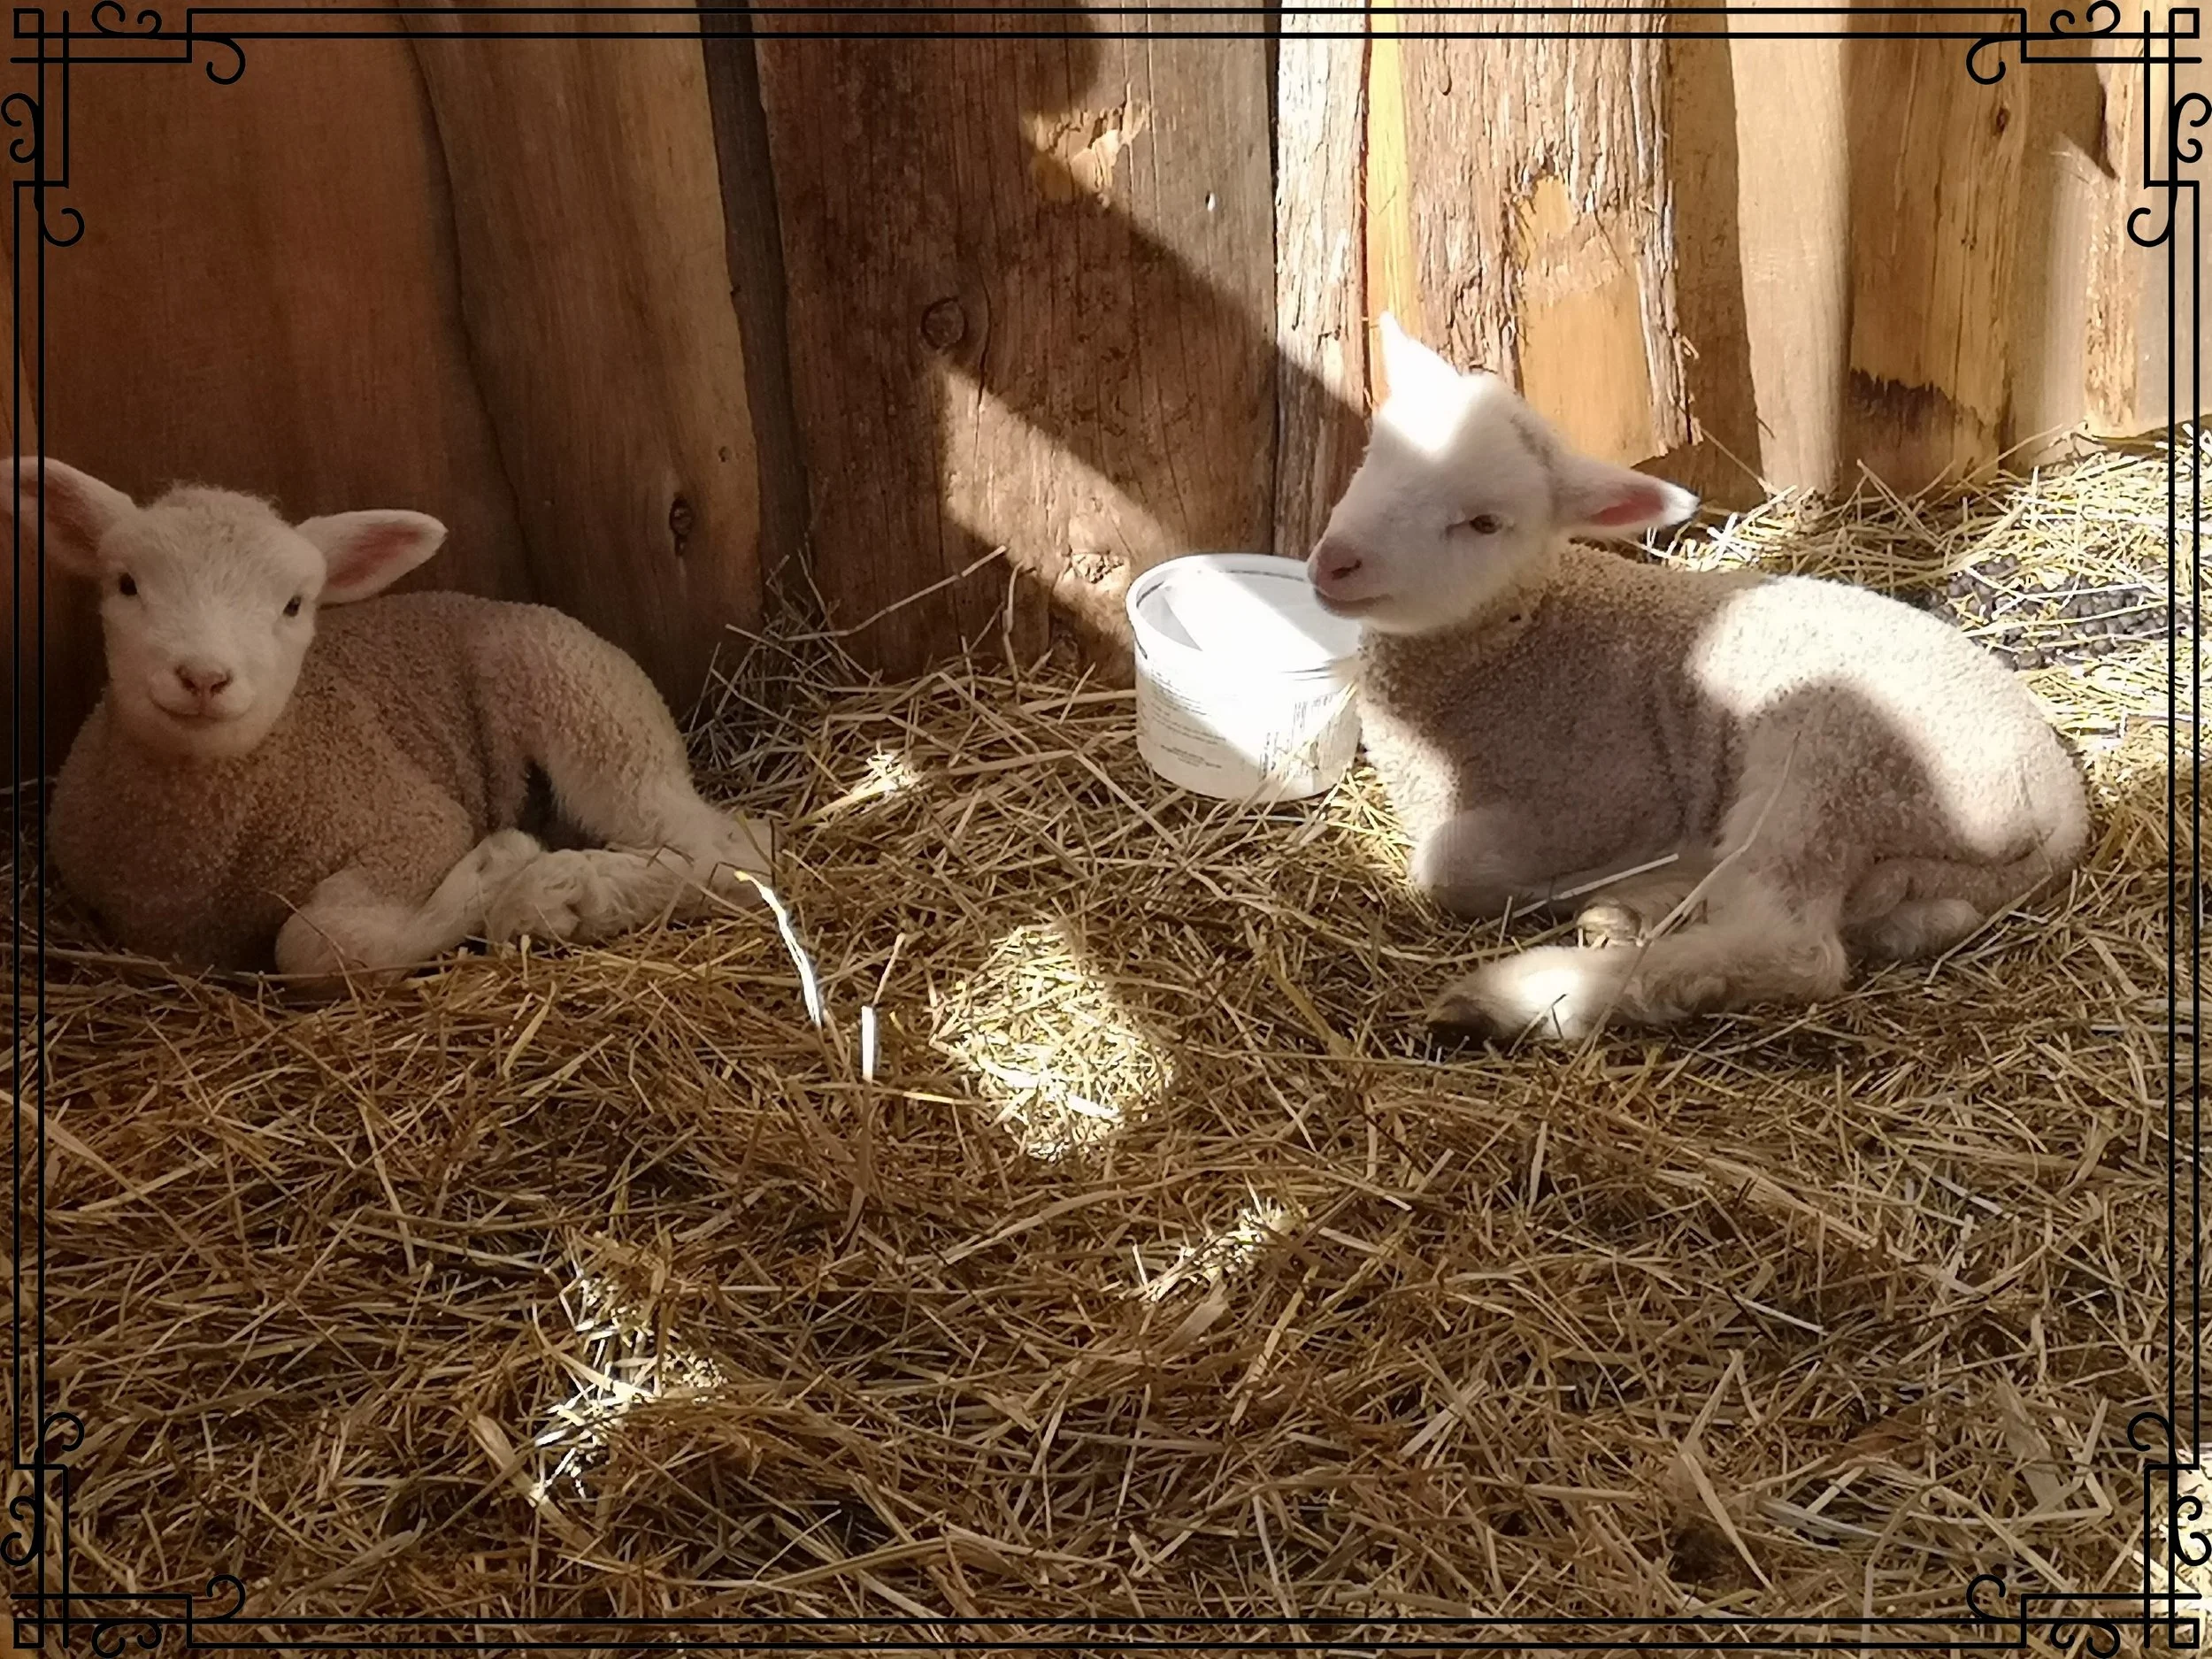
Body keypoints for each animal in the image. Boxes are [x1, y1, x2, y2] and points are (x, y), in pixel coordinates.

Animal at [20, 458, 777, 993]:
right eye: (126, 584)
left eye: (294, 605)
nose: (204, 676)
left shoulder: (413, 826)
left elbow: (315, 942)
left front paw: (496, 867)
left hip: (589, 708)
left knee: (733, 850)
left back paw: (562, 893)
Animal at [1305, 317, 2089, 1043]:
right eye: (1374, 454)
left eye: (1483, 522)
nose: (1334, 561)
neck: (1522, 641)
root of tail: (2058, 802)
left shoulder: (1602, 794)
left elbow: (1446, 866)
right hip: (1905, 852)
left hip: (1826, 765)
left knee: (1792, 947)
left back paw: (1524, 992)